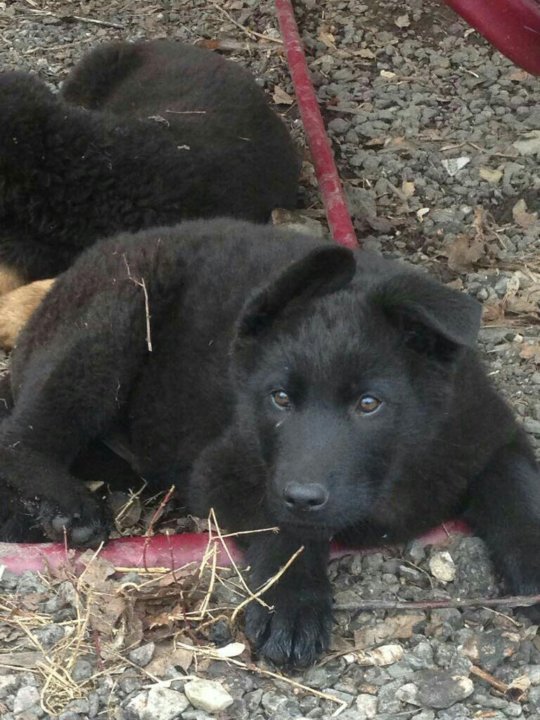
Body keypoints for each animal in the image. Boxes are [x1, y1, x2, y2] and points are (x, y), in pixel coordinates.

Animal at [1, 217, 540, 668]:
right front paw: (292, 603)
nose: (303, 494)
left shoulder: (489, 434)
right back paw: (65, 508)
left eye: (369, 404)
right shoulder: (226, 467)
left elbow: (518, 490)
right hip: (114, 317)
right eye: (279, 398)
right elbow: (285, 529)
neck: (391, 474)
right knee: (21, 435)